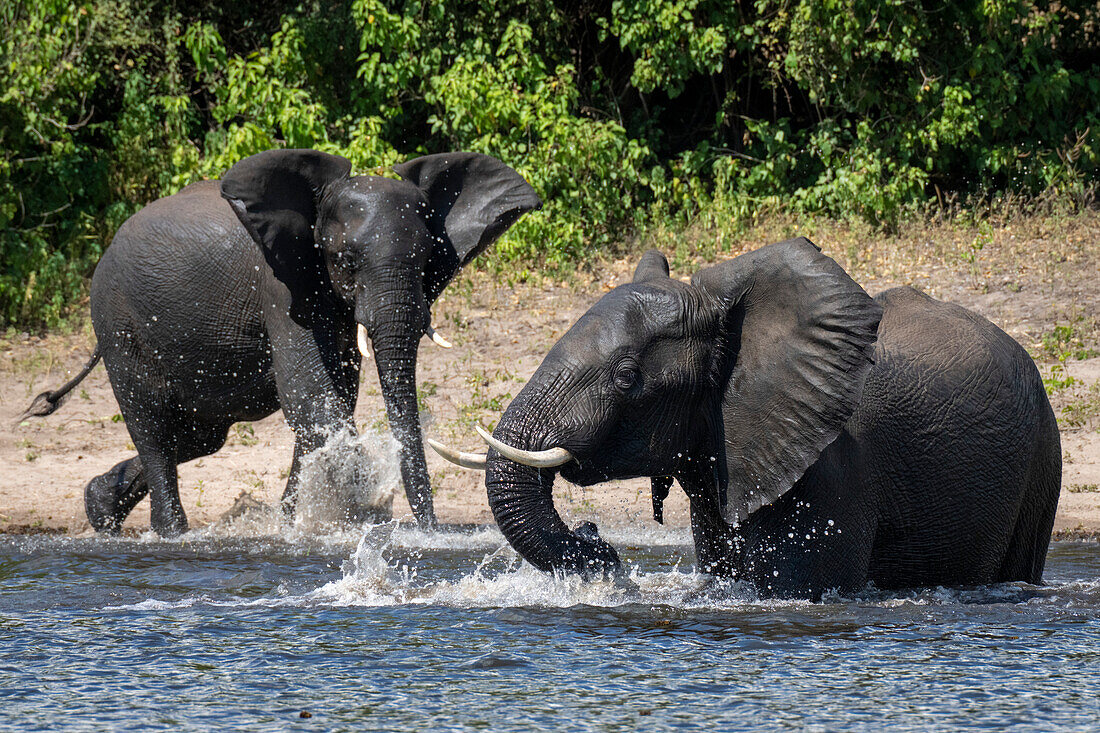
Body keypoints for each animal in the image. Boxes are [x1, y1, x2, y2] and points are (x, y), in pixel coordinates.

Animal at [25, 148, 541, 537]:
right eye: (346, 261)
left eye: (428, 258)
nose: (429, 529)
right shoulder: (280, 286)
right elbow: (312, 397)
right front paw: (350, 517)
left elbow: (335, 395)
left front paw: (294, 523)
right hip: (117, 322)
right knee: (153, 426)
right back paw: (171, 534)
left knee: (198, 435)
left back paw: (99, 509)